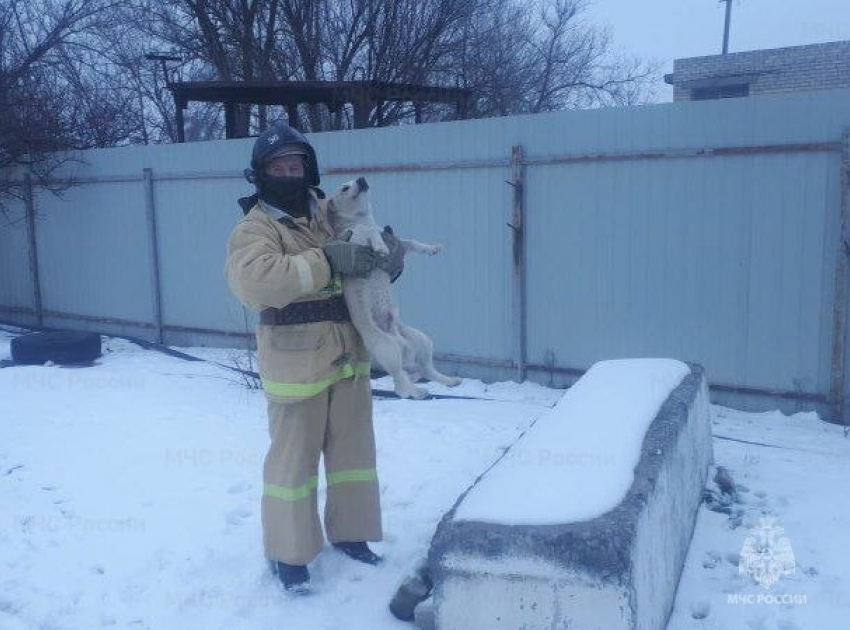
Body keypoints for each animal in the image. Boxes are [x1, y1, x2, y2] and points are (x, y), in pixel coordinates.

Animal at [324, 175, 460, 400]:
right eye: (344, 187)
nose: (362, 178)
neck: (361, 220)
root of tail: (402, 347)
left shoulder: (398, 242)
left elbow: (411, 242)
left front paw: (432, 248)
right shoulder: (356, 240)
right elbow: (371, 234)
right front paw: (380, 247)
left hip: (423, 340)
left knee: (427, 370)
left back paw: (450, 381)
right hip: (387, 349)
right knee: (399, 380)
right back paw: (416, 391)